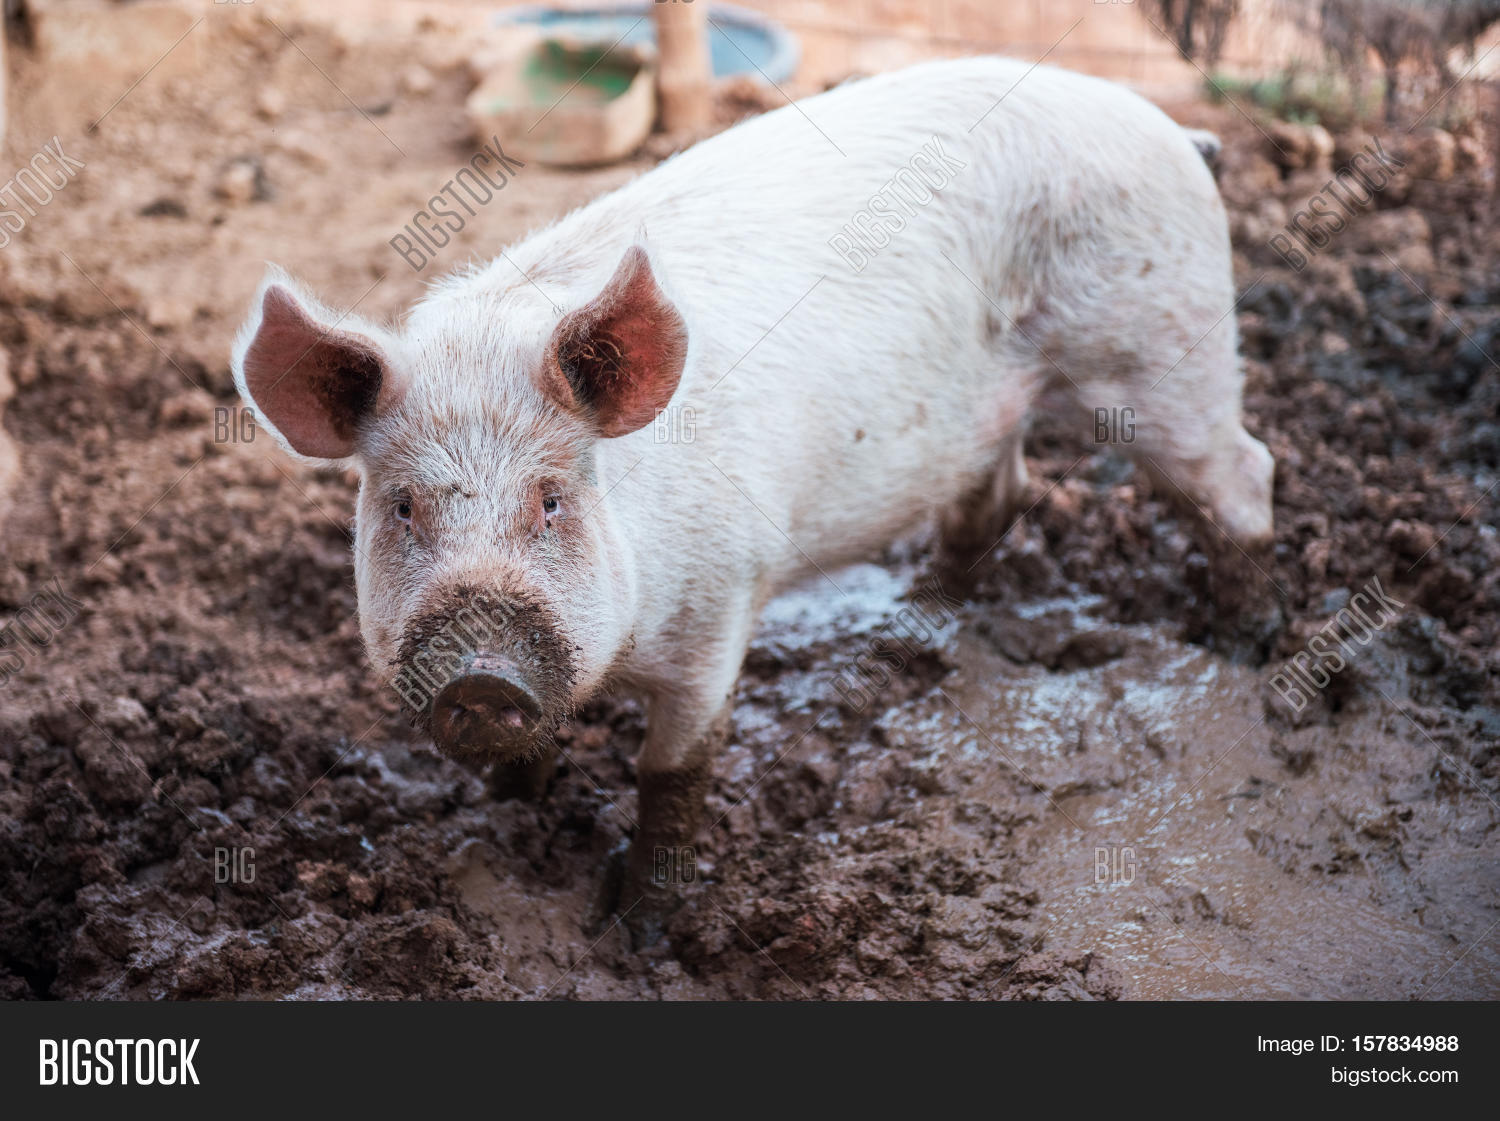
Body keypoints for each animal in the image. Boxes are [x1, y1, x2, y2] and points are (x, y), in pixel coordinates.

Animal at [232, 56, 1274, 942]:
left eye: (552, 501)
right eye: (404, 507)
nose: (480, 674)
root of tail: (1175, 131)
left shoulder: (720, 606)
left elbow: (673, 773)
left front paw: (642, 933)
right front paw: (508, 815)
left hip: (1160, 345)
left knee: (1243, 472)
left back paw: (1247, 646)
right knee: (1000, 491)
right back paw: (918, 620)